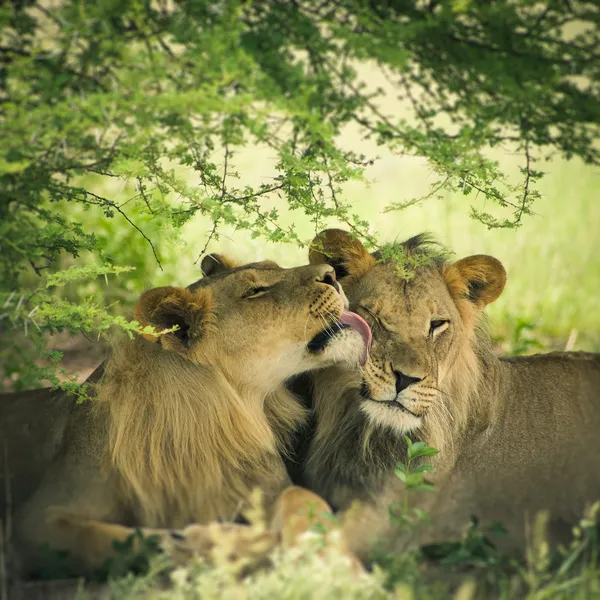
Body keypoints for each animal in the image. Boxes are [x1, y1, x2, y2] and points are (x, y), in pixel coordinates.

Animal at [2, 253, 372, 576]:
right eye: (255, 291)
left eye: (275, 266)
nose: (333, 274)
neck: (218, 418)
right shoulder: (37, 519)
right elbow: (110, 540)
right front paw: (215, 544)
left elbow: (304, 497)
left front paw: (334, 560)